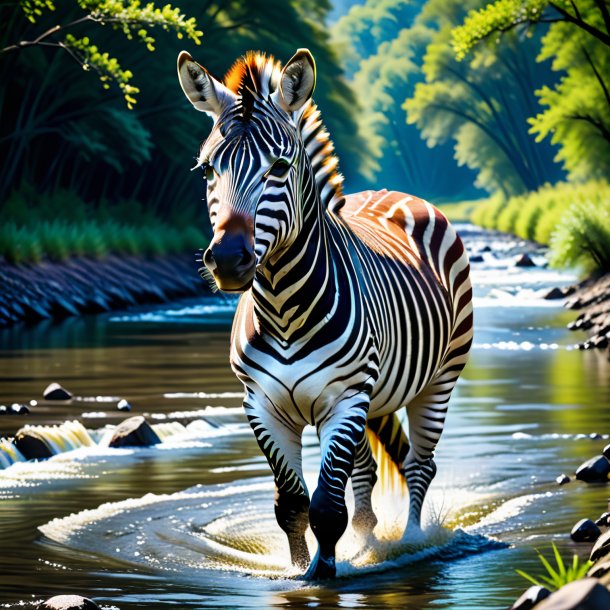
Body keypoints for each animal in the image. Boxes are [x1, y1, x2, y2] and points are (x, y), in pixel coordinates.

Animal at [178, 50, 472, 576]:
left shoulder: (345, 399)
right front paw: (301, 569)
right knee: (369, 470)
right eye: (208, 170)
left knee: (419, 465)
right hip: (373, 398)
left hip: (438, 380)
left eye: (280, 166)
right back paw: (368, 540)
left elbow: (326, 507)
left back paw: (411, 542)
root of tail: (396, 192)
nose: (229, 260)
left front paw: (325, 573)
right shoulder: (263, 406)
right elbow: (293, 505)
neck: (283, 310)